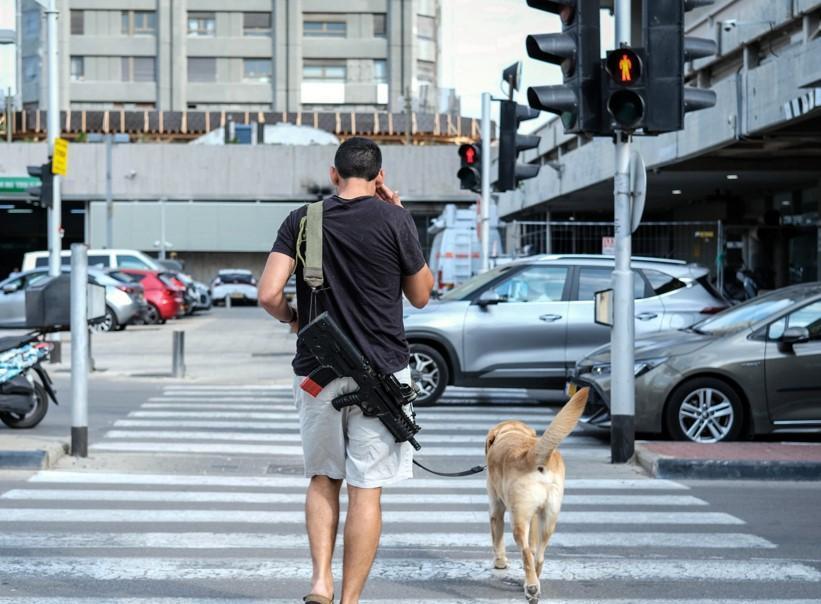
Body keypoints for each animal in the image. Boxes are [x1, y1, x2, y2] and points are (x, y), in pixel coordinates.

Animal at [484, 390, 588, 600]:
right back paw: (533, 581)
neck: (511, 432)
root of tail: (532, 454)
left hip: (518, 520)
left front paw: (500, 563)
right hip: (549, 518)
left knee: (525, 552)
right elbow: (532, 548)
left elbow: (497, 538)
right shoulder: (533, 516)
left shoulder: (496, 508)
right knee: (538, 555)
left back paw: (531, 587)